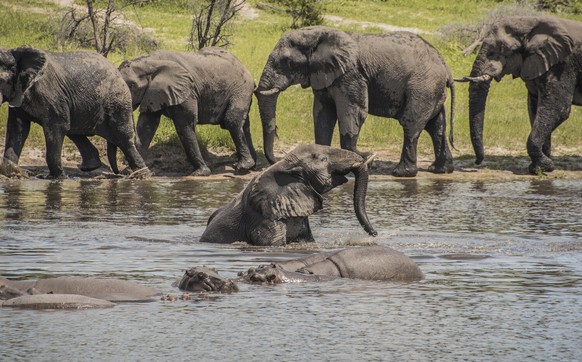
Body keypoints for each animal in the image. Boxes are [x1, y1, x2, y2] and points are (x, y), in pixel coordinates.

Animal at [117, 48, 256, 177]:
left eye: (132, 85)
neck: (150, 62)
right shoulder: (151, 93)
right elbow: (146, 127)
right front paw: (131, 172)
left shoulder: (187, 91)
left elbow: (184, 126)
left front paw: (200, 173)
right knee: (244, 125)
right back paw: (252, 166)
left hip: (241, 90)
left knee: (231, 121)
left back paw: (243, 166)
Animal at [258, 26, 458, 177]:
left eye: (287, 62)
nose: (276, 161)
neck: (319, 35)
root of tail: (445, 67)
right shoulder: (323, 75)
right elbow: (323, 115)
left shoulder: (350, 75)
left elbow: (353, 112)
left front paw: (364, 160)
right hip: (432, 90)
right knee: (436, 126)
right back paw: (440, 170)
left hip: (423, 87)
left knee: (411, 124)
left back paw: (401, 173)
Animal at [460, 16, 582, 175]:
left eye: (500, 50)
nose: (477, 162)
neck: (531, 23)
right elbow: (535, 109)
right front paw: (538, 168)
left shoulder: (563, 66)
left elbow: (558, 109)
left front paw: (545, 166)